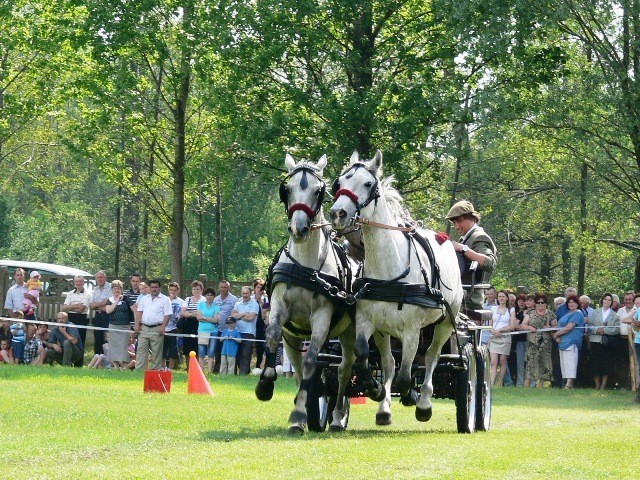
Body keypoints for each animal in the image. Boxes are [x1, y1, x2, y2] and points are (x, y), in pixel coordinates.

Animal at [255, 154, 356, 436]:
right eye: (286, 189)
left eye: (318, 190)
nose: (298, 229)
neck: (306, 265)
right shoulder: (279, 309)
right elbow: (271, 338)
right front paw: (265, 386)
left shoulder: (322, 317)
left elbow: (311, 361)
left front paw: (299, 413)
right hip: (293, 337)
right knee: (299, 368)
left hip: (350, 333)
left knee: (343, 371)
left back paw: (337, 417)